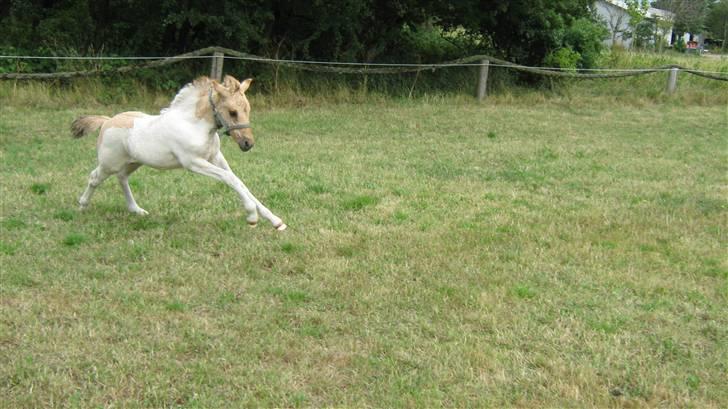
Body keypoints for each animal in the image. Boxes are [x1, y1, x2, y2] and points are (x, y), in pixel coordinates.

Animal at [72, 75, 288, 230]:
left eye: (248, 109)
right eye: (233, 112)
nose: (247, 143)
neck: (194, 125)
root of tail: (107, 121)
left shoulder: (216, 157)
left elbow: (240, 182)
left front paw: (276, 221)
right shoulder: (193, 162)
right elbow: (230, 179)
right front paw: (251, 217)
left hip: (134, 162)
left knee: (122, 178)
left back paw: (137, 210)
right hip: (110, 163)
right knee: (94, 177)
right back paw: (82, 205)